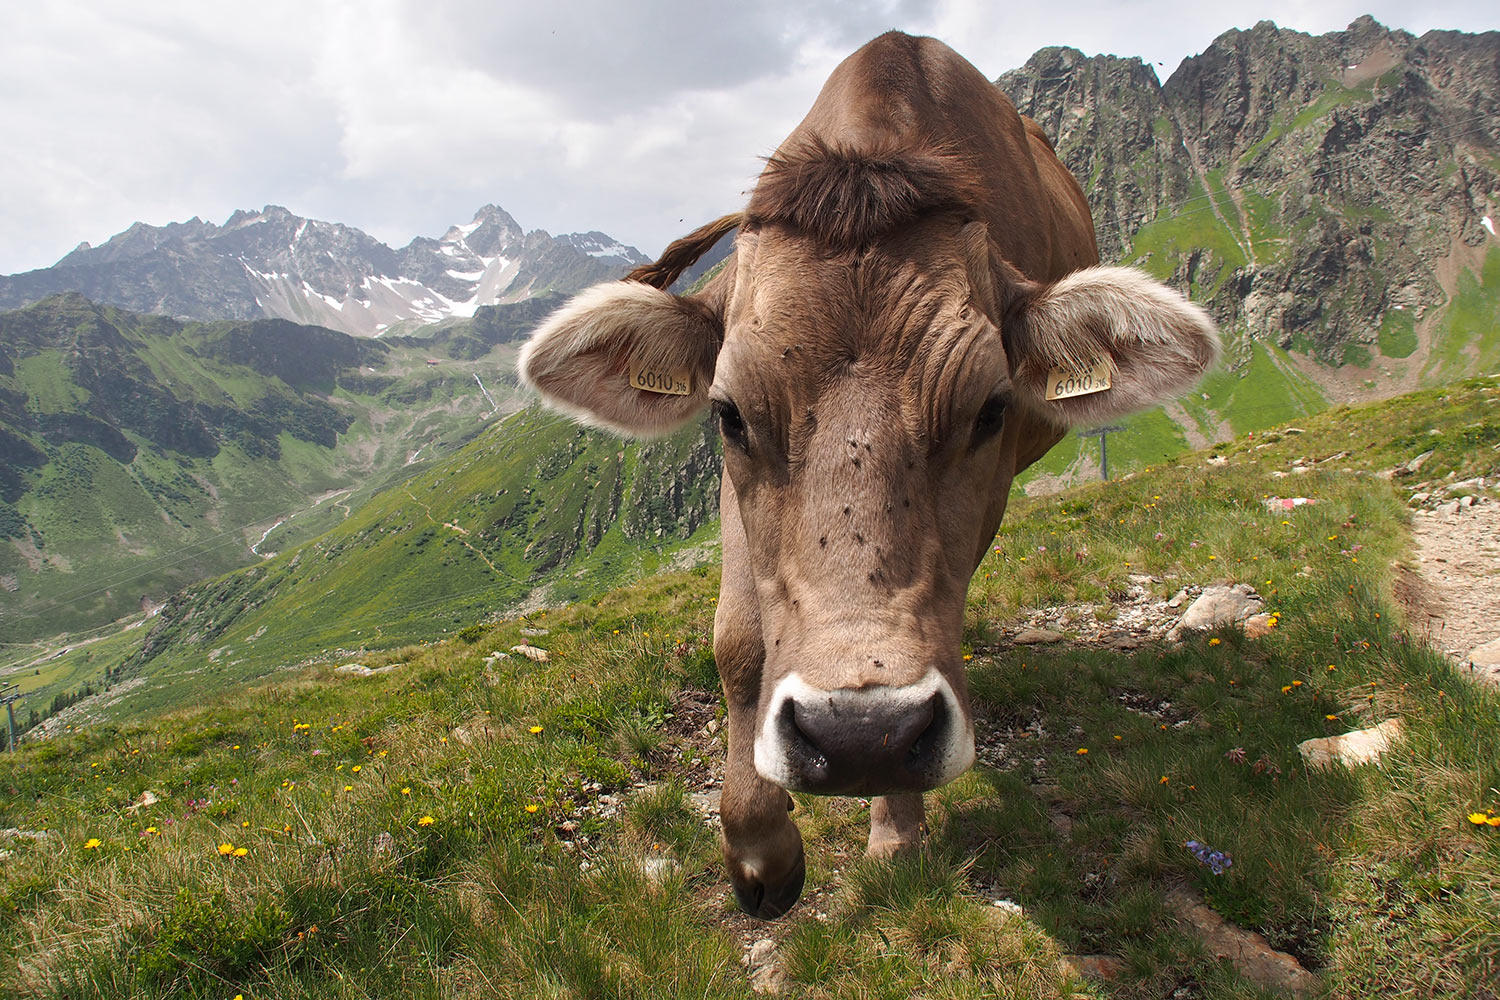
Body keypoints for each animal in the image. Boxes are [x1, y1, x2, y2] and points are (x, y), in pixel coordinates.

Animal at [519, 31, 1218, 918]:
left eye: (992, 408)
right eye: (728, 414)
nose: (859, 737)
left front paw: (895, 835)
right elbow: (738, 640)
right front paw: (761, 848)